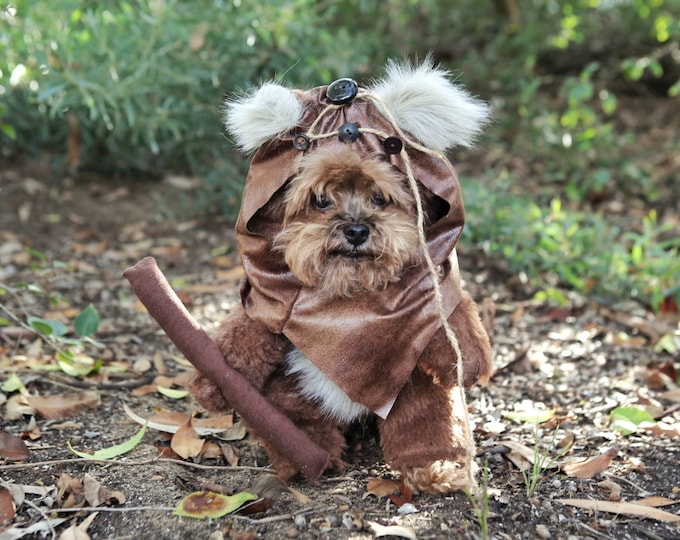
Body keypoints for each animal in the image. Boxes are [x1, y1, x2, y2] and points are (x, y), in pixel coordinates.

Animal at [191, 59, 494, 494]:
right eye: (320, 200)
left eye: (380, 197)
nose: (355, 230)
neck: (352, 295)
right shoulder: (268, 302)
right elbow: (243, 335)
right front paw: (210, 386)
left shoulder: (435, 295)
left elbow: (455, 323)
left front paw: (470, 364)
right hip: (291, 390)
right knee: (294, 416)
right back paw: (305, 455)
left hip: (415, 388)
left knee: (428, 415)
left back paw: (433, 466)